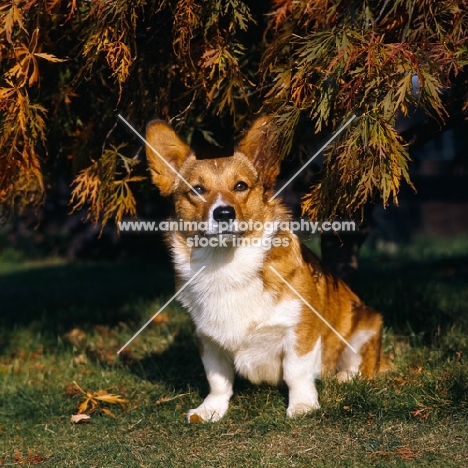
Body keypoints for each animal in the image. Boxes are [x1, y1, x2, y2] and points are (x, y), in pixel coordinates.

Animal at [145, 115, 384, 422]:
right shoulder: (208, 340)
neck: (226, 263)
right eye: (197, 189)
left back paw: (344, 377)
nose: (224, 213)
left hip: (366, 324)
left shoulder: (300, 331)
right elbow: (218, 380)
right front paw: (210, 409)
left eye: (240, 186)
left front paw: (302, 405)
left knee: (359, 364)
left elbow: (297, 373)